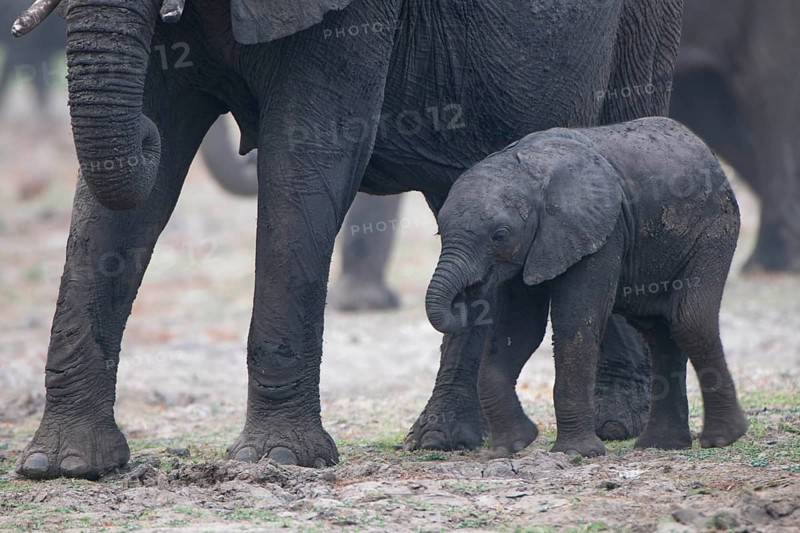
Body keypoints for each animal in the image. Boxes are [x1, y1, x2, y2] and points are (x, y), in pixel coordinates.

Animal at [13, 0, 684, 479]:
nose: (143, 138)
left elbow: (306, 161)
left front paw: (278, 460)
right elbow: (126, 200)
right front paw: (64, 465)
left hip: (642, 28)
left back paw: (613, 425)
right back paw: (446, 439)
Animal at [427, 117, 747, 457]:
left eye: (499, 235)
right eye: (439, 232)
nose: (467, 295)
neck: (528, 171)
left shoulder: (601, 231)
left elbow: (575, 324)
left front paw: (577, 453)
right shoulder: (534, 248)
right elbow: (519, 330)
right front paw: (512, 445)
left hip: (714, 228)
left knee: (689, 321)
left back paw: (723, 438)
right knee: (659, 331)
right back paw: (661, 445)